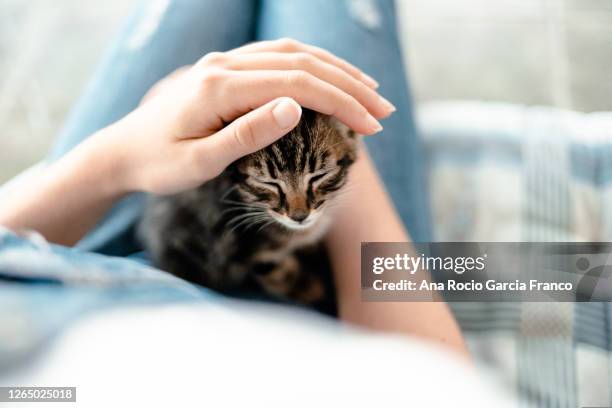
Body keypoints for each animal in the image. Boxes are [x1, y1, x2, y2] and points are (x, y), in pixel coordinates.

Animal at [139, 108, 358, 312]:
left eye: (319, 176)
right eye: (268, 183)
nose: (299, 216)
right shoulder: (242, 245)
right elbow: (283, 274)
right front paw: (314, 290)